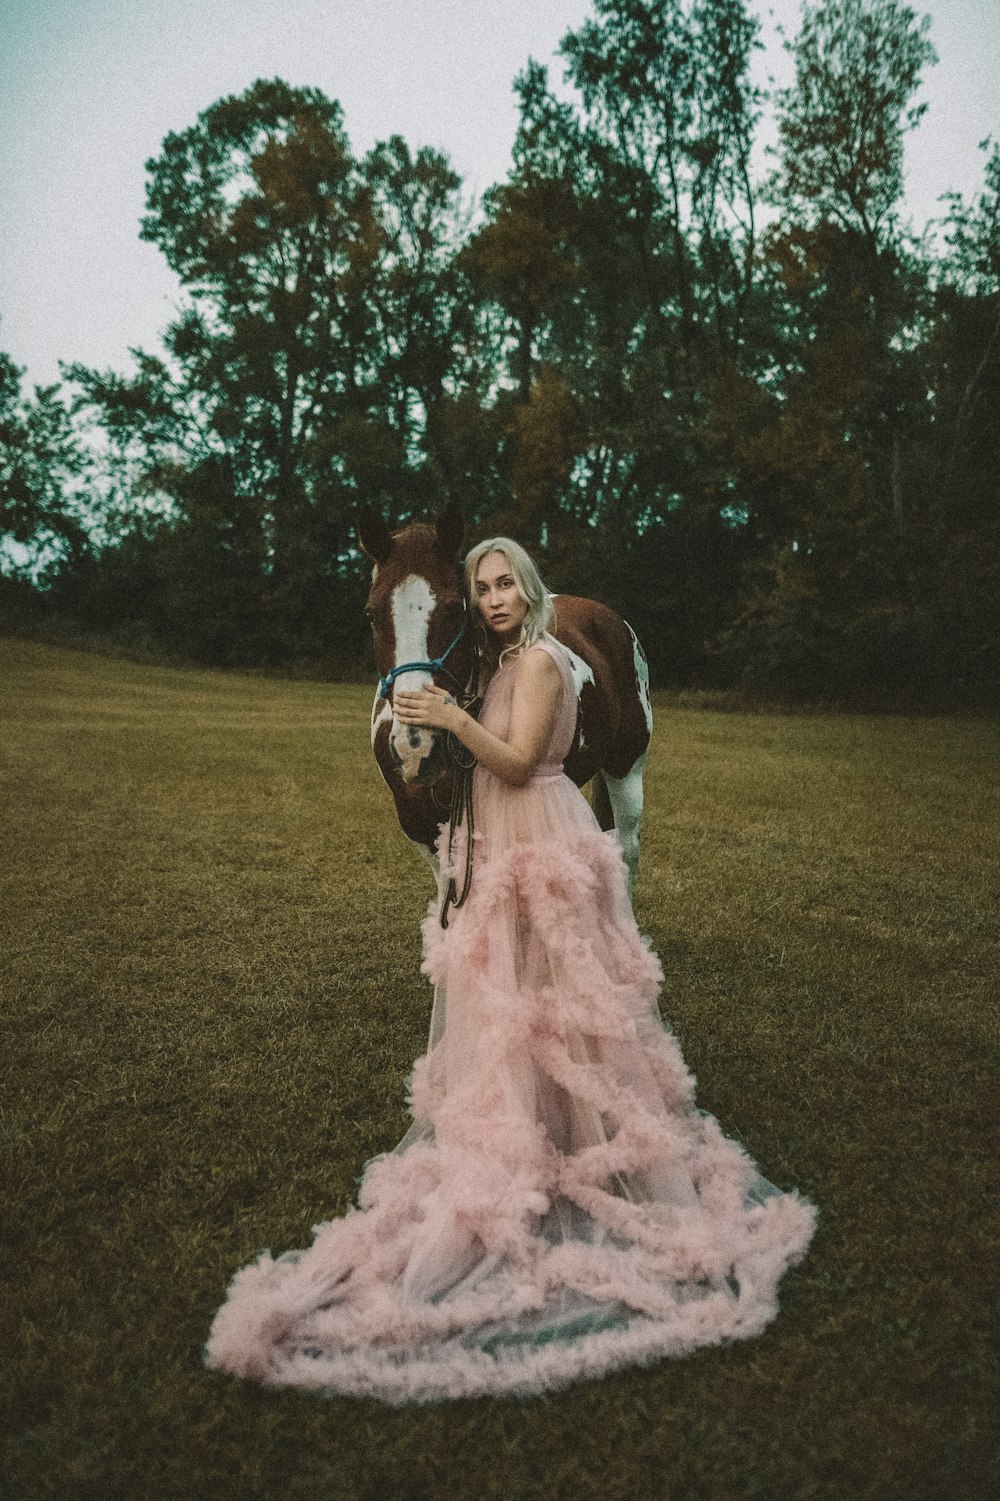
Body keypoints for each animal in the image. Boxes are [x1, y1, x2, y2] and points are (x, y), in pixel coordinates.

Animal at [354, 498, 651, 882]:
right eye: (371, 614)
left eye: (455, 610)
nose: (415, 747)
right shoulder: (420, 823)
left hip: (626, 768)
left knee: (626, 848)